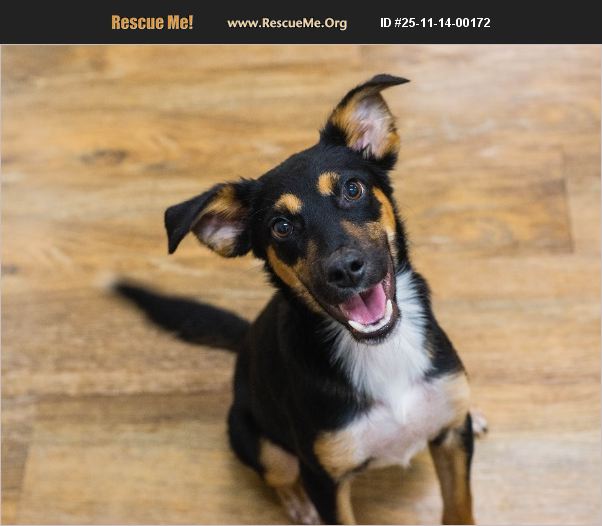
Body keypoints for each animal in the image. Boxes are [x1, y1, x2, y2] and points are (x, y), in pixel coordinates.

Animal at [118, 74, 485, 525]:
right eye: (281, 226)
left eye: (352, 188)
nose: (345, 270)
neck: (380, 351)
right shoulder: (325, 479)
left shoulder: (452, 438)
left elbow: (460, 506)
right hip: (257, 441)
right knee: (277, 475)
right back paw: (297, 505)